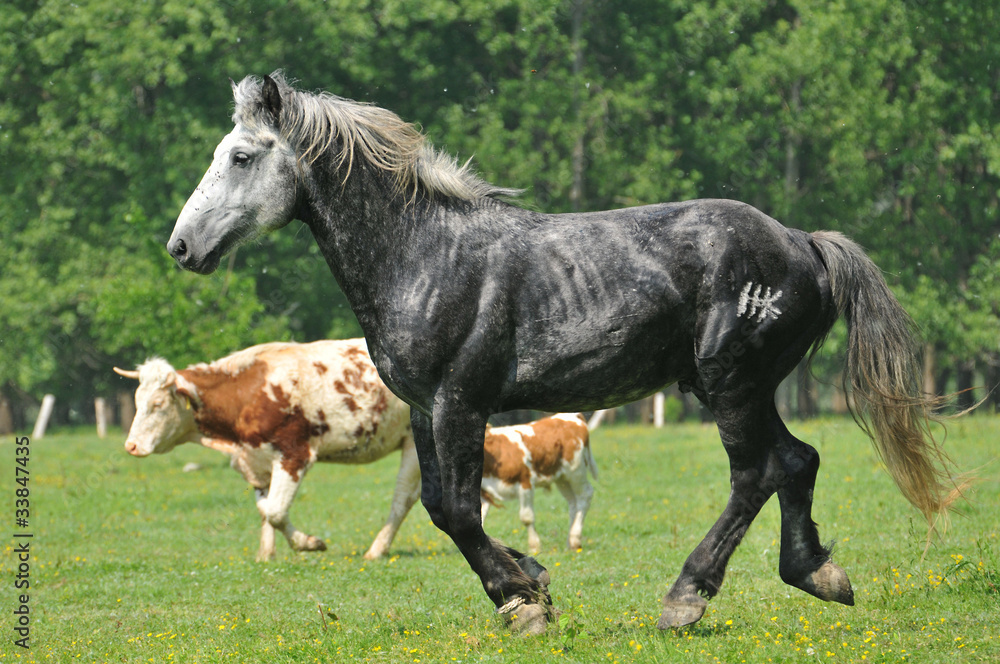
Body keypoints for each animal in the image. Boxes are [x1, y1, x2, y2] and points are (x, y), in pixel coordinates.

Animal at [166, 72, 956, 634]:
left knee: (757, 472)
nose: (181, 247)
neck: (425, 256)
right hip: (741, 387)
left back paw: (686, 599)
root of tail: (804, 245)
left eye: (241, 156)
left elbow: (460, 511)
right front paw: (533, 579)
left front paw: (523, 603)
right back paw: (818, 574)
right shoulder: (426, 409)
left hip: (731, 383)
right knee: (797, 461)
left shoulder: (461, 403)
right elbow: (440, 507)